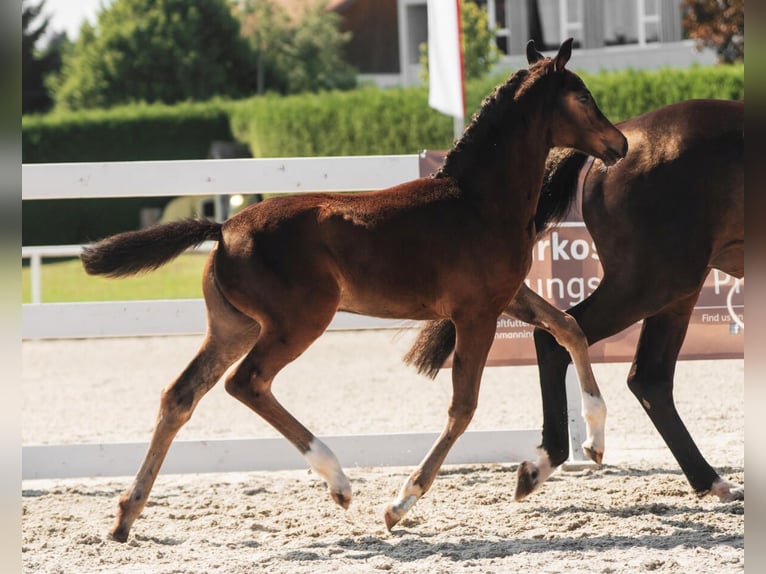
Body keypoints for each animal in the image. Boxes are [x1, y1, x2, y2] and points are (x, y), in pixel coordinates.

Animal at [80, 38, 627, 541]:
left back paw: (125, 516)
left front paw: (593, 442)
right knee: (247, 382)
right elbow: (464, 406)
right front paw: (400, 503)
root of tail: (225, 228)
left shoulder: (507, 297)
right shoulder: (476, 314)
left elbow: (569, 327)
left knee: (181, 395)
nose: (619, 144)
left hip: (233, 326)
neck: (477, 200)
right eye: (582, 96)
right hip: (298, 323)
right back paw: (338, 480)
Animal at [404, 98, 744, 503]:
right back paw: (547, 462)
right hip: (653, 282)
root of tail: (621, 139)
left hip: (676, 290)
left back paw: (710, 481)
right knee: (562, 339)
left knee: (647, 377)